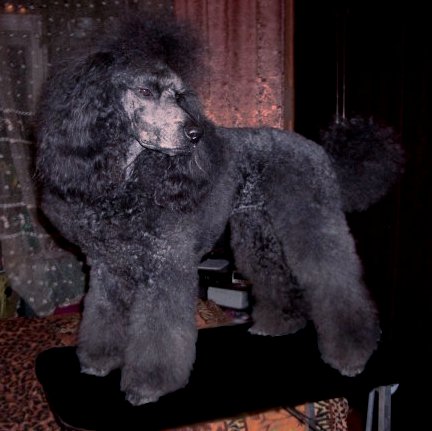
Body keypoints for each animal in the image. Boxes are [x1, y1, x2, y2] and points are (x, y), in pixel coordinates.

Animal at [35, 17, 403, 405]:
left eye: (179, 96)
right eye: (146, 91)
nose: (194, 133)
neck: (129, 183)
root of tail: (322, 153)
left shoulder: (167, 266)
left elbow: (160, 333)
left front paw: (149, 384)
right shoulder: (109, 268)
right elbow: (102, 317)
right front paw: (98, 361)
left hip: (313, 221)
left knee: (337, 284)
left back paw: (352, 354)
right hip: (258, 232)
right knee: (276, 278)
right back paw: (279, 324)